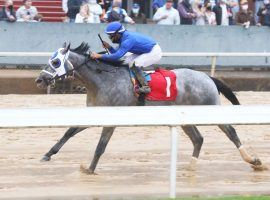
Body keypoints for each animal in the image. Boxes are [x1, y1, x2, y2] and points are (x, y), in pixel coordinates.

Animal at [34, 43, 262, 174]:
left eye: (55, 62)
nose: (39, 80)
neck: (102, 79)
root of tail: (207, 77)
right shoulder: (96, 113)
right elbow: (69, 131)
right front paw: (47, 154)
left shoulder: (111, 119)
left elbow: (101, 146)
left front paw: (89, 169)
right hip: (185, 115)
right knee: (198, 138)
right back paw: (191, 166)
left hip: (210, 107)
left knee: (231, 132)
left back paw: (253, 160)